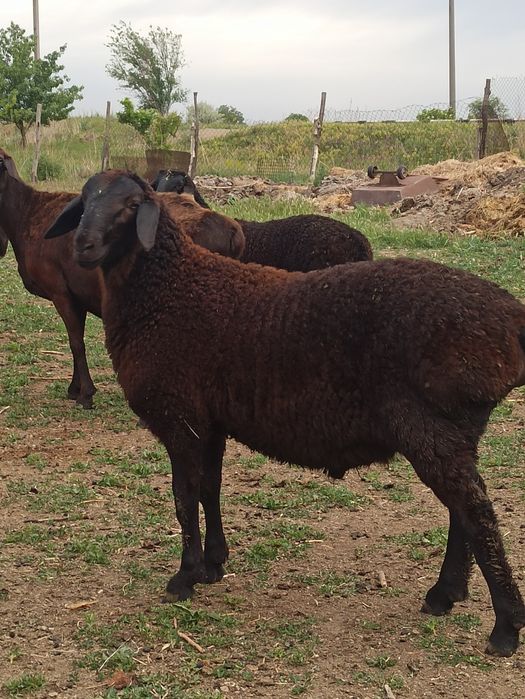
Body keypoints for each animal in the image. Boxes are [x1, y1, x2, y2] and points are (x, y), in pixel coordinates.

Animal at [0, 150, 243, 407]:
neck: (28, 213)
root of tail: (233, 233)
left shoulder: (60, 292)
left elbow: (76, 343)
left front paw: (85, 394)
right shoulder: (77, 295)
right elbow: (76, 341)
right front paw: (76, 388)